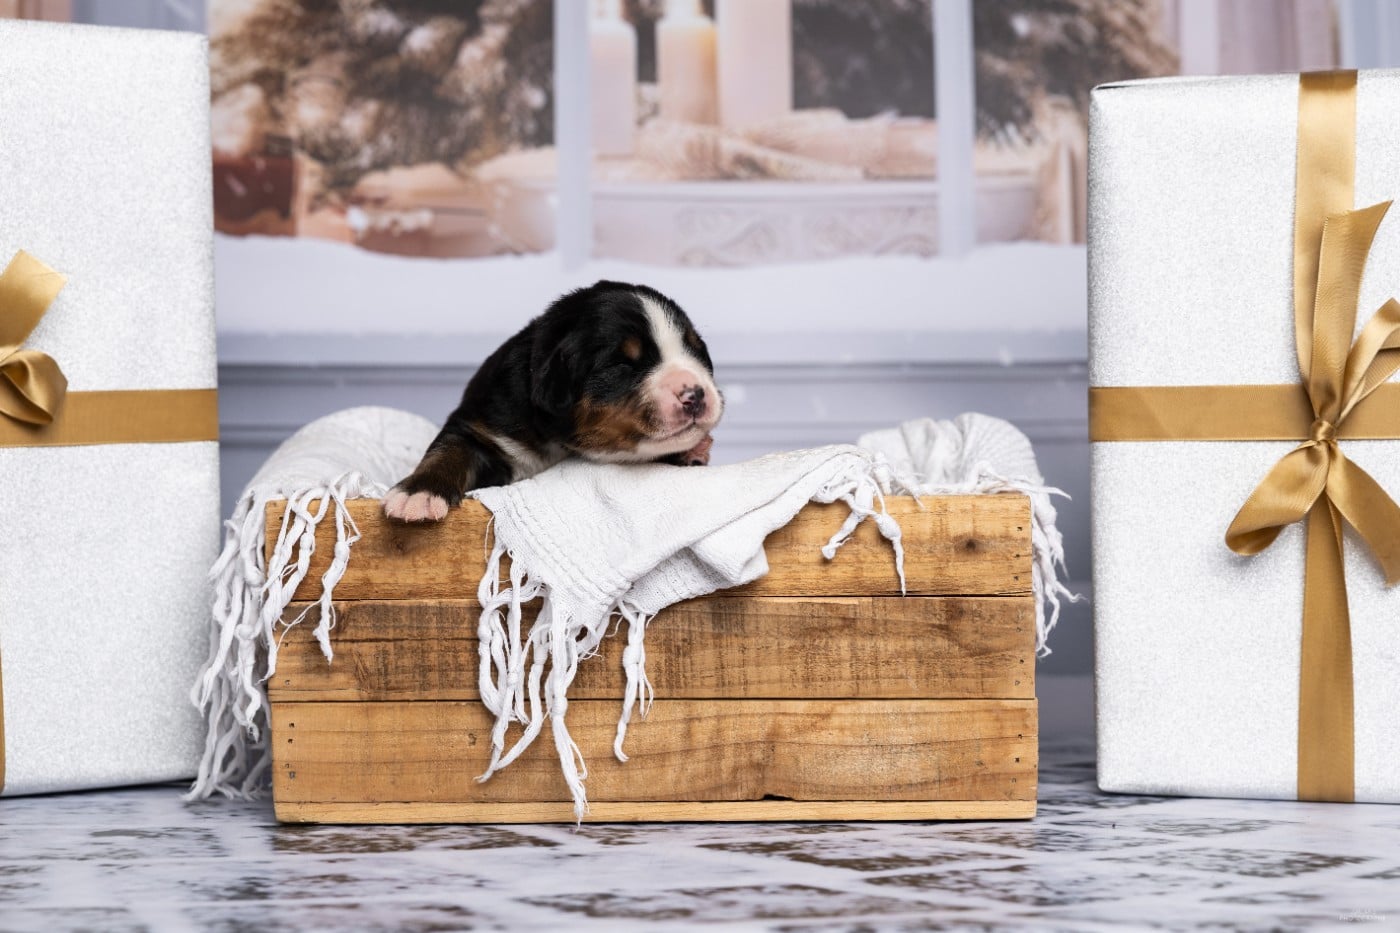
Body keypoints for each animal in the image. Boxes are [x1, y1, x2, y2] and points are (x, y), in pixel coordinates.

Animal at [384, 281, 723, 522]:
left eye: (696, 350)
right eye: (622, 364)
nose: (696, 393)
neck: (560, 444)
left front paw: (690, 453)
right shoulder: (479, 423)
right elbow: (449, 450)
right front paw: (419, 494)